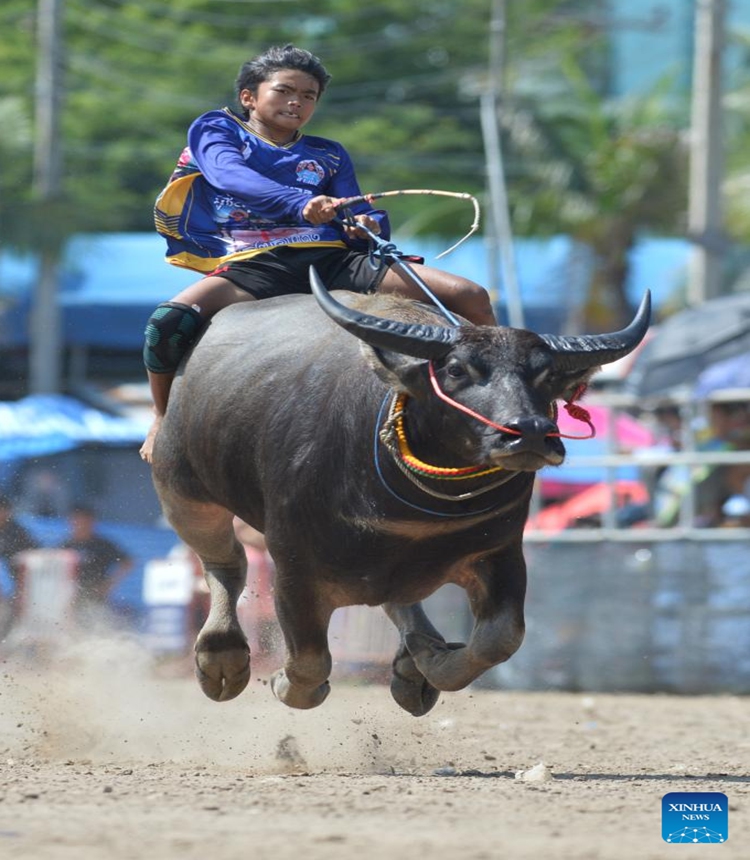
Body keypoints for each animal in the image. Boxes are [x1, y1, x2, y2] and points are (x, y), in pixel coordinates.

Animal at [150, 272, 648, 716]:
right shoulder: (292, 564)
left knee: (398, 596)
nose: (527, 432)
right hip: (181, 490)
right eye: (456, 369)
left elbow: (500, 638)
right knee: (226, 562)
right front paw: (280, 681)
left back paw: (414, 663)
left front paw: (431, 662)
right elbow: (309, 666)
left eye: (545, 377)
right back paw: (221, 656)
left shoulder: (500, 550)